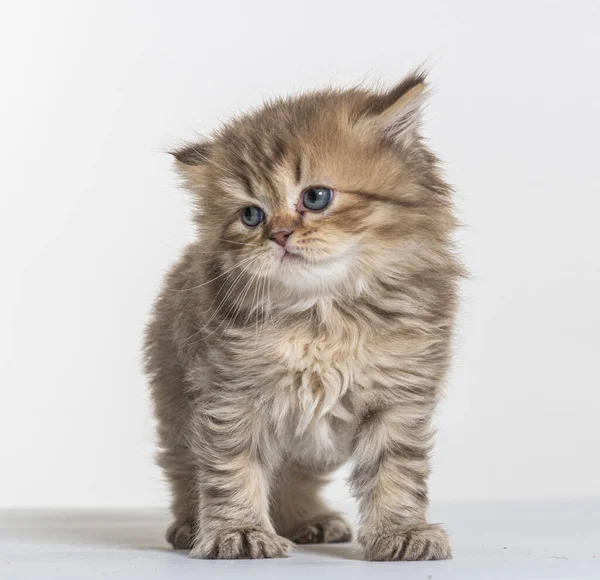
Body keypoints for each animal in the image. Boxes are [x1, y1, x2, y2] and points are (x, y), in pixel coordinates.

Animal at [143, 70, 462, 560]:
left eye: (316, 197)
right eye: (251, 215)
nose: (278, 235)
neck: (323, 314)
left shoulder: (398, 395)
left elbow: (395, 469)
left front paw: (401, 530)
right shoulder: (229, 393)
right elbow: (232, 467)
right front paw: (238, 531)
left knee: (294, 476)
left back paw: (308, 520)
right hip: (175, 403)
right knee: (183, 470)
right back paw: (189, 525)